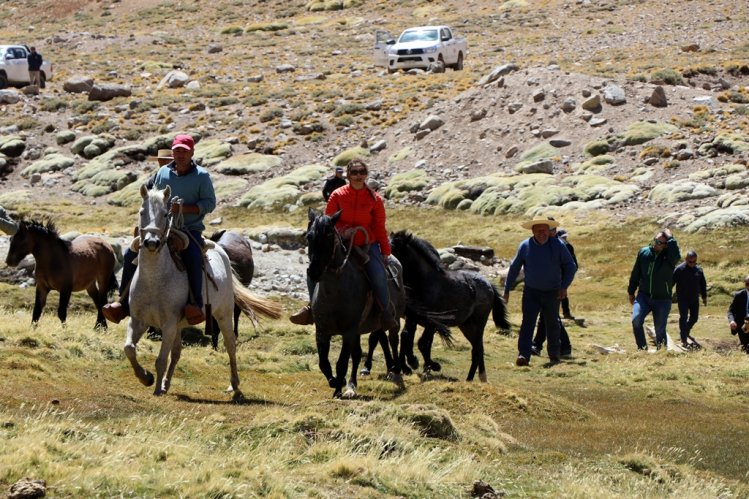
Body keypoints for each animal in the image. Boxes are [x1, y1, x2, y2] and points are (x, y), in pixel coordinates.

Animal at [124, 186, 280, 400]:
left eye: (165, 214)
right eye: (141, 212)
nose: (151, 242)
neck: (154, 280)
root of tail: (221, 251)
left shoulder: (168, 324)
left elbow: (160, 359)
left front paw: (155, 389)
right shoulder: (138, 321)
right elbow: (129, 349)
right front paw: (146, 378)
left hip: (223, 315)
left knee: (230, 345)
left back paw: (234, 385)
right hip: (180, 325)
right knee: (177, 352)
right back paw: (166, 384)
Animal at [306, 208, 406, 398]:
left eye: (329, 236)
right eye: (309, 236)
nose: (314, 271)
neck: (334, 294)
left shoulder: (349, 331)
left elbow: (341, 362)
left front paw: (338, 389)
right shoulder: (321, 331)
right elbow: (324, 363)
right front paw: (336, 382)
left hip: (393, 320)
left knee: (393, 340)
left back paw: (396, 373)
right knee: (359, 353)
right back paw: (352, 385)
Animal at [388, 231, 512, 382]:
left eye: (394, 247)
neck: (425, 282)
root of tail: (490, 286)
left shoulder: (433, 322)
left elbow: (422, 343)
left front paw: (431, 365)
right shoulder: (414, 318)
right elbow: (408, 337)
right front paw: (413, 364)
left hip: (478, 323)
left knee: (477, 349)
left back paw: (475, 378)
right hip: (466, 326)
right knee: (477, 348)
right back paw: (472, 379)